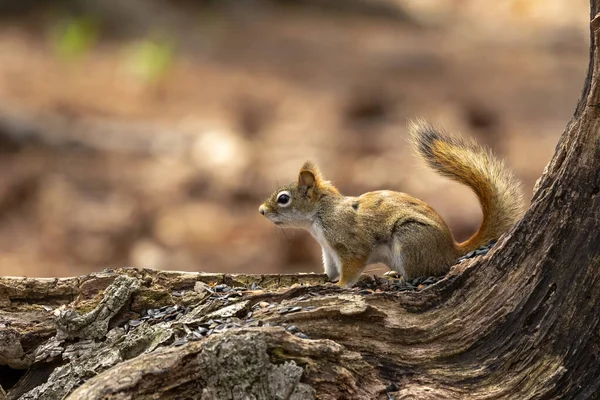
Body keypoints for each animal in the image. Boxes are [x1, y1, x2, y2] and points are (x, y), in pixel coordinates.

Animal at [258, 119, 524, 288]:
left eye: (283, 199)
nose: (261, 211)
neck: (321, 214)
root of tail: (450, 251)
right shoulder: (328, 251)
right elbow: (330, 270)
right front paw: (321, 280)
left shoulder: (348, 243)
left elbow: (352, 267)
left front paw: (339, 286)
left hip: (410, 240)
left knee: (417, 274)